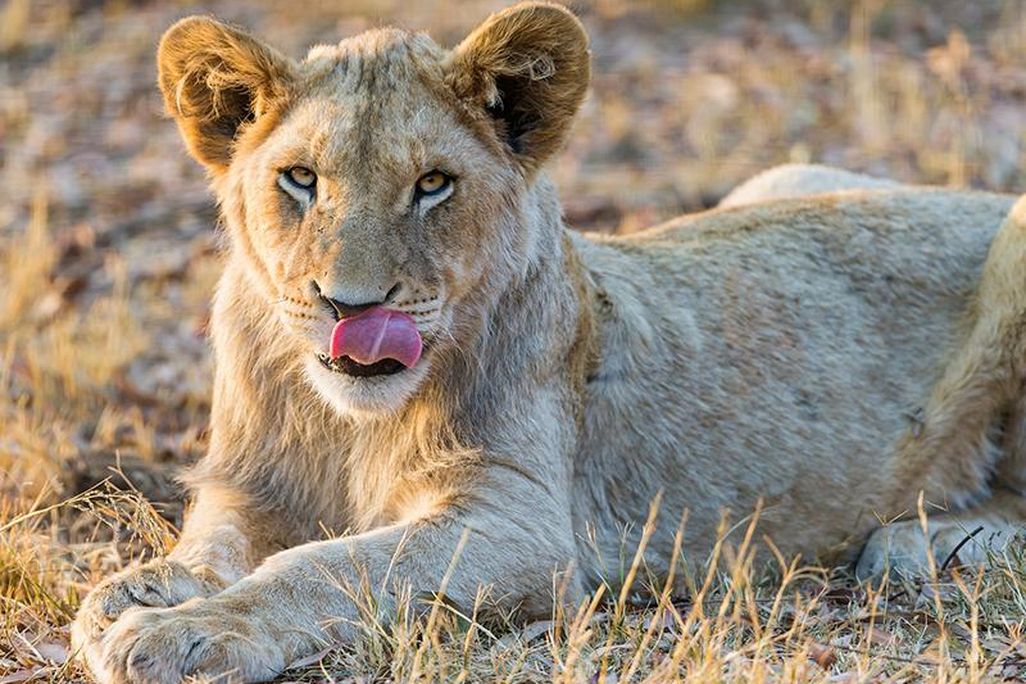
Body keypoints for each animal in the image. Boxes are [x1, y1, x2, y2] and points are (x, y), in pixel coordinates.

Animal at [72, 3, 1026, 682]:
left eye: (433, 184)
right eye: (300, 179)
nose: (351, 305)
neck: (346, 423)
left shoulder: (522, 524)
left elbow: (329, 565)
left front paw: (186, 631)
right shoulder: (247, 486)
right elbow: (215, 544)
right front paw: (140, 587)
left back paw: (911, 544)